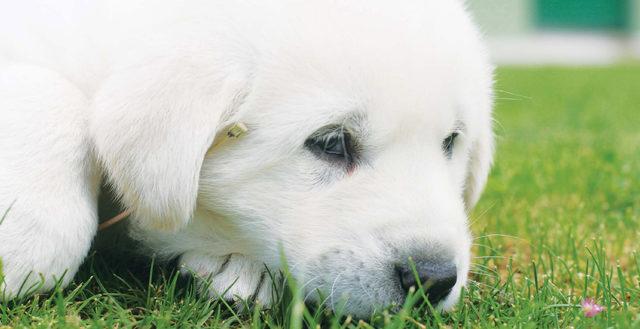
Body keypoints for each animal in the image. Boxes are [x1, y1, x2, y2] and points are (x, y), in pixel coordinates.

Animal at [0, 0, 496, 316]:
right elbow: (51, 89)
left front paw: (238, 267)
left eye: (451, 141)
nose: (433, 279)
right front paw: (23, 238)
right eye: (331, 143)